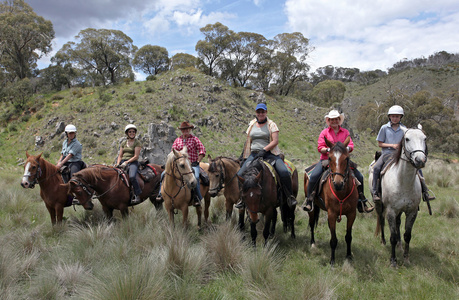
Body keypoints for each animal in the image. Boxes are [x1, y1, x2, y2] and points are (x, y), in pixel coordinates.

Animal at [368, 124, 430, 268]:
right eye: (407, 139)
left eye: (424, 138)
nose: (420, 160)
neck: (404, 182)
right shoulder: (391, 211)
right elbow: (392, 237)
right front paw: (393, 261)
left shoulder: (412, 211)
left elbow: (407, 235)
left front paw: (406, 258)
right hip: (379, 205)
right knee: (382, 220)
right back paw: (383, 241)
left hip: (400, 211)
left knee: (397, 224)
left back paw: (400, 246)